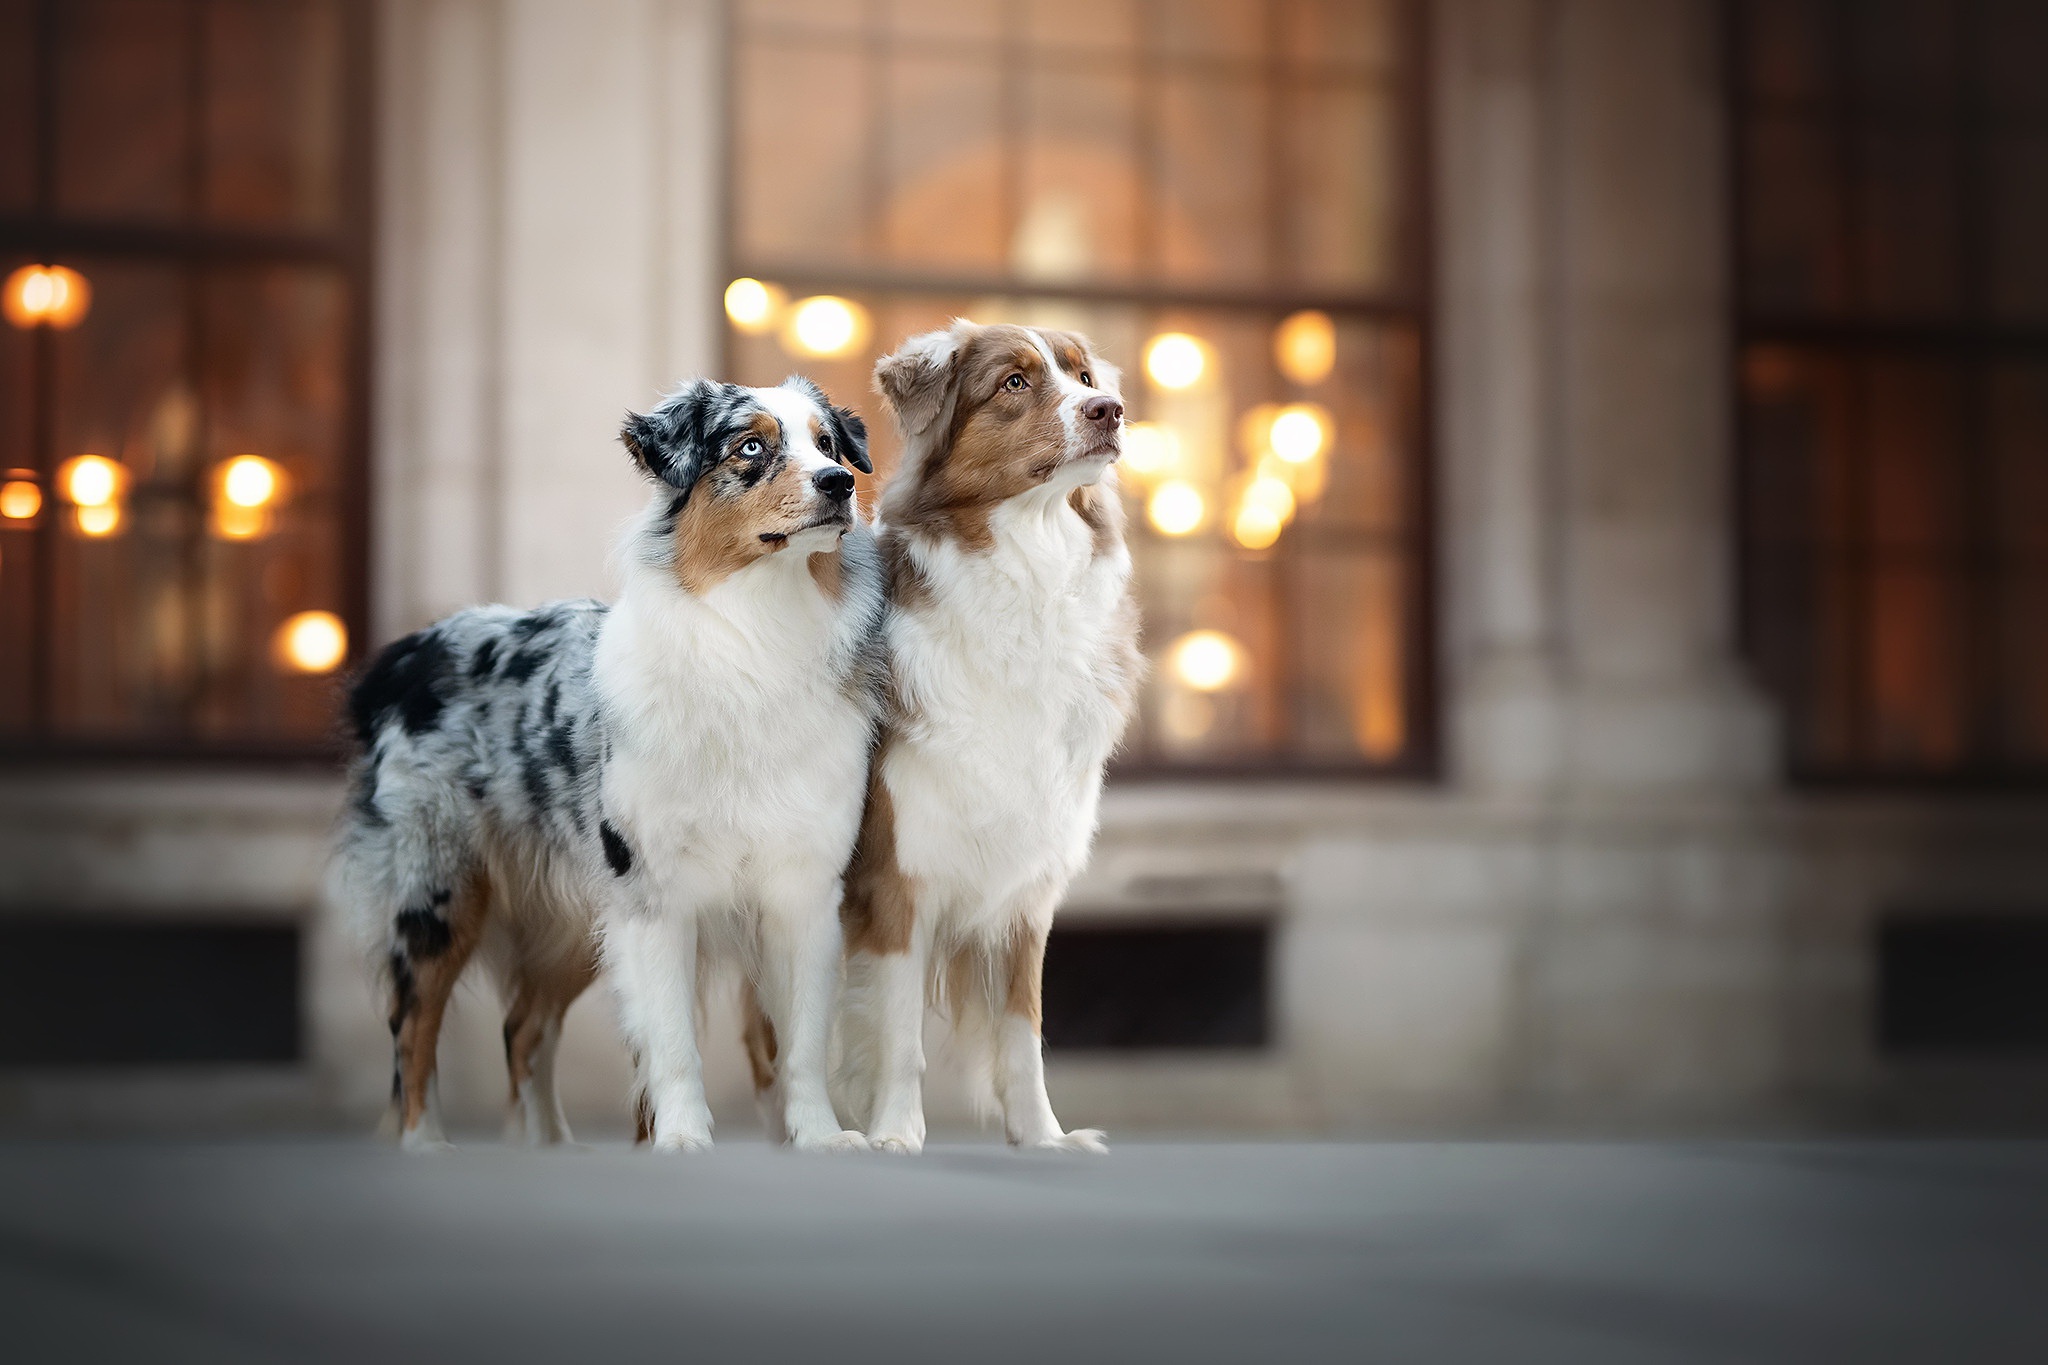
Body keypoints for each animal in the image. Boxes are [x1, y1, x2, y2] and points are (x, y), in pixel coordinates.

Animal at [331, 376, 884, 1154]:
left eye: (829, 444)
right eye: (751, 446)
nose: (839, 482)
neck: (756, 636)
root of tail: (412, 651)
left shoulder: (803, 889)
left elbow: (800, 1039)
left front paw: (819, 1135)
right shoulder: (652, 890)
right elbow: (672, 1038)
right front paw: (681, 1137)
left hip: (569, 916)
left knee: (523, 1026)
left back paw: (550, 1146)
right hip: (437, 890)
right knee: (412, 1028)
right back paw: (422, 1143)